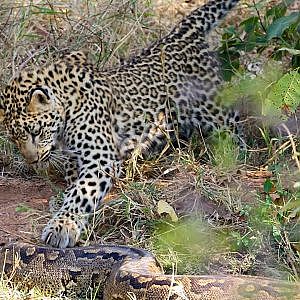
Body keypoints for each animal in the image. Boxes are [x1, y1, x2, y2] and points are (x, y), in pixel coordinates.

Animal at [0, 0, 241, 248]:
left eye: (36, 132)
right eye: (14, 140)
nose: (32, 161)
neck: (68, 103)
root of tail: (181, 33)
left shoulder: (100, 158)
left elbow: (82, 192)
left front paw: (62, 226)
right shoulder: (75, 158)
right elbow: (73, 181)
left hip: (217, 114)